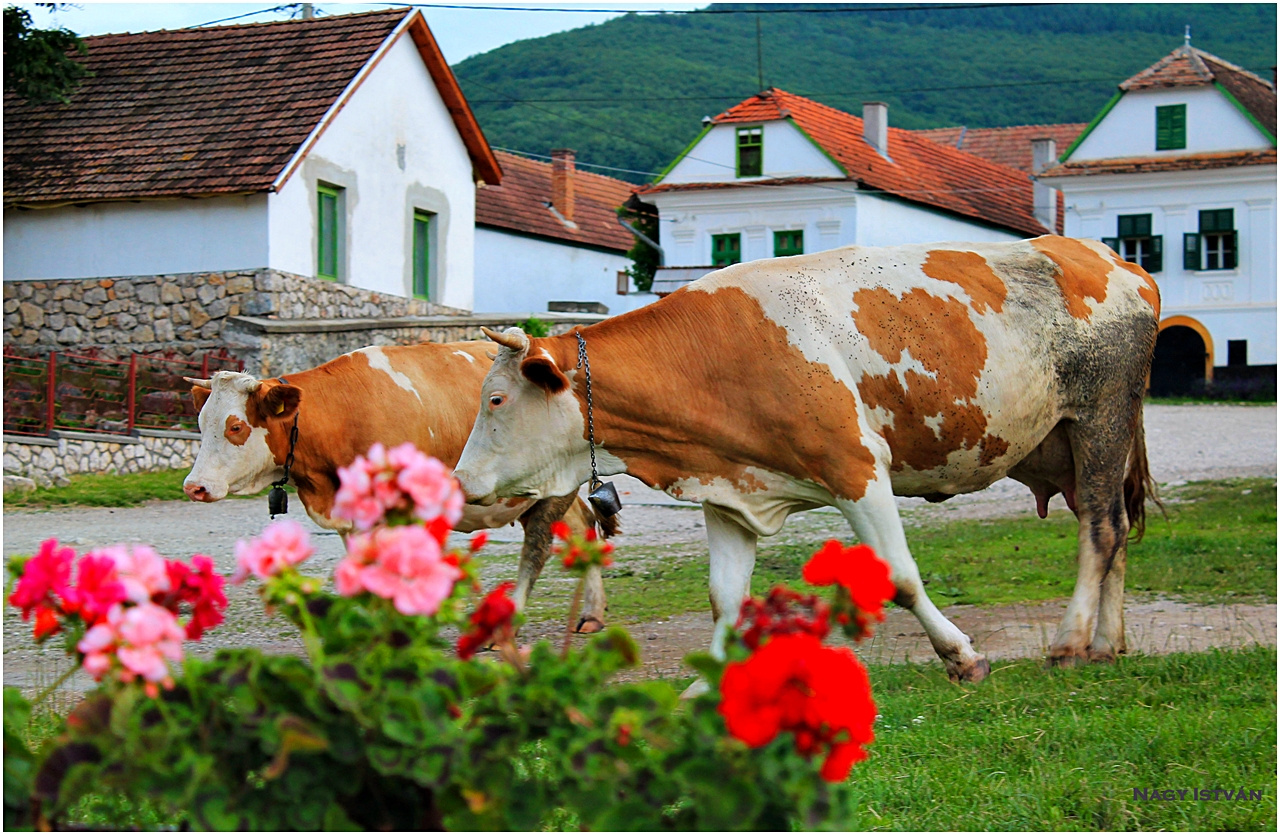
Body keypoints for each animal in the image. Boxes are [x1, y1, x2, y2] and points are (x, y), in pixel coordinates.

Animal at [181, 343, 614, 630]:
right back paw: (592, 614)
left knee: (539, 544)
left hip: (552, 490)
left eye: (235, 426)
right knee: (583, 526)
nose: (194, 487)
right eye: (201, 423)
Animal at [458, 236, 1162, 686]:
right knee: (1113, 526)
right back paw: (1108, 645)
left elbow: (900, 577)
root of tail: (1112, 257)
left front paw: (961, 656)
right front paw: (705, 689)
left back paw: (1071, 643)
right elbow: (725, 599)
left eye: (495, 398)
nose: (460, 480)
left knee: (1101, 529)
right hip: (1067, 444)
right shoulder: (730, 491)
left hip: (1100, 418)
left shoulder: (856, 466)